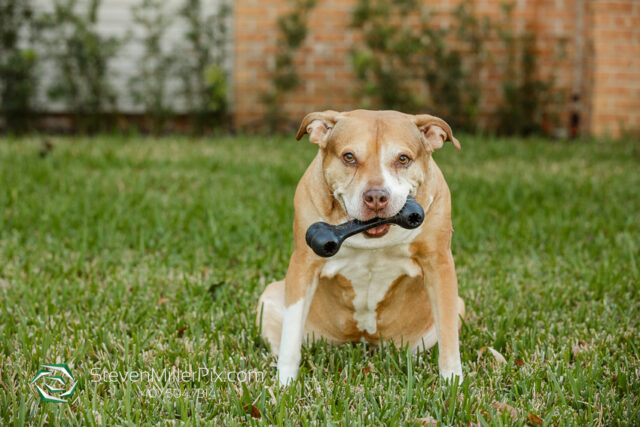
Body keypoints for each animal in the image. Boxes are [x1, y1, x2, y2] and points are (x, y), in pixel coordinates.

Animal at [256, 108, 464, 386]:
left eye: (403, 159)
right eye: (349, 157)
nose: (376, 196)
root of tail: (362, 338)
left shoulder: (439, 264)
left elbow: (449, 335)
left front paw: (453, 384)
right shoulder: (303, 265)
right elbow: (291, 334)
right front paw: (284, 384)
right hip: (270, 297)